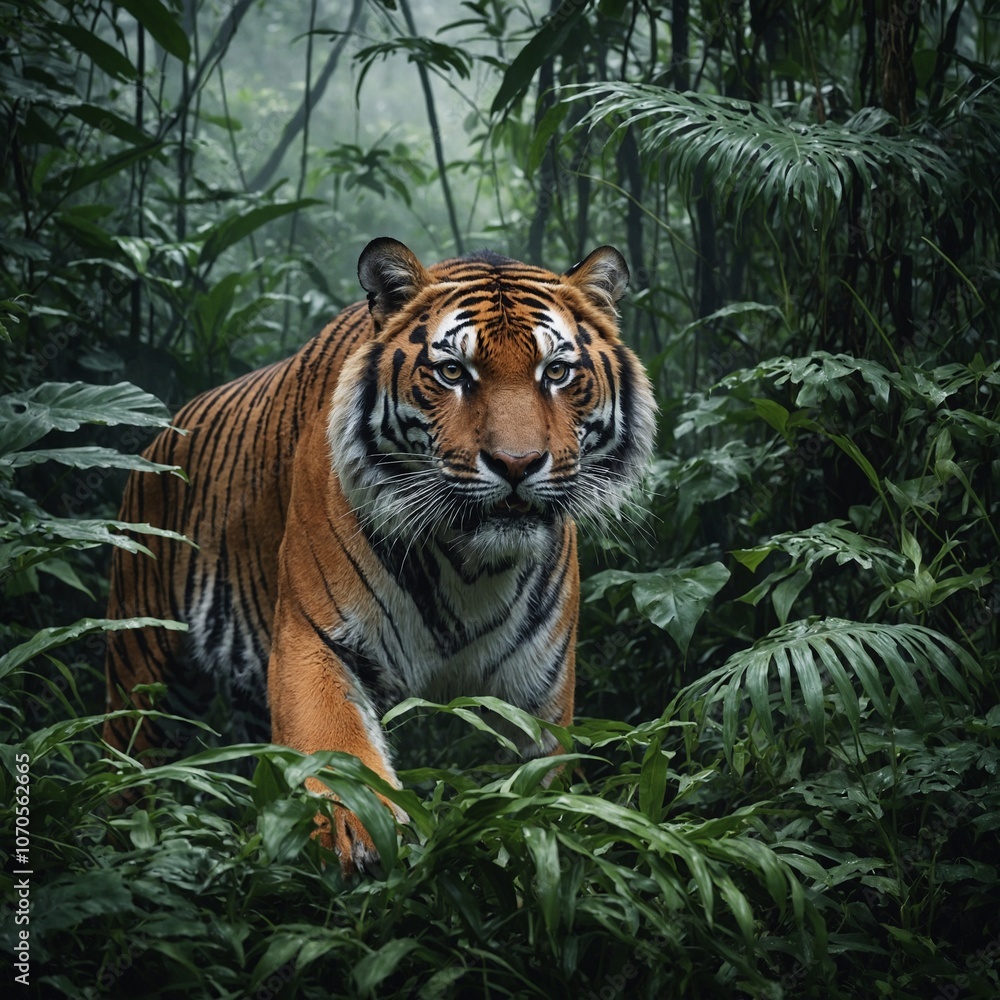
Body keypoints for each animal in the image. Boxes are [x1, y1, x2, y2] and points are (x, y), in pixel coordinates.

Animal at [103, 237, 657, 874]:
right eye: (452, 372)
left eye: (558, 372)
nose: (516, 465)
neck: (470, 564)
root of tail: (160, 432)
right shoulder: (314, 637)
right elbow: (335, 747)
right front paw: (363, 833)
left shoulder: (539, 691)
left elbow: (541, 796)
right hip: (141, 671)